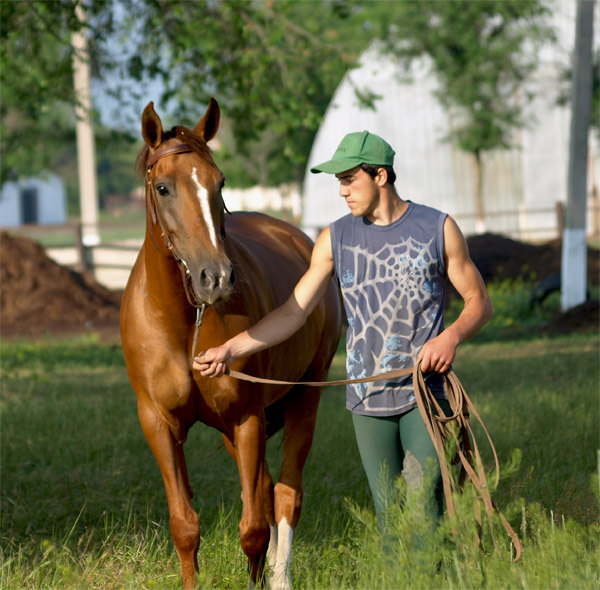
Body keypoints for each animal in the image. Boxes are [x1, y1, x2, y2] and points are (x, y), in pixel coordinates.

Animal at [119, 99, 340, 588]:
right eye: (163, 188)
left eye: (219, 182)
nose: (215, 278)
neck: (182, 326)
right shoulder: (157, 424)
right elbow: (185, 527)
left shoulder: (247, 417)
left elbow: (254, 529)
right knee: (265, 487)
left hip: (304, 398)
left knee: (284, 494)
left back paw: (281, 576)